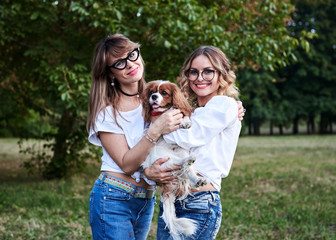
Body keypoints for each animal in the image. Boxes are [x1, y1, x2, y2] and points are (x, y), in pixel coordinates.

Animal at [140, 80, 207, 240]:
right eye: (152, 91)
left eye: (164, 93)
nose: (153, 96)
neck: (164, 112)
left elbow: (184, 114)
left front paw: (186, 122)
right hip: (165, 159)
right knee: (179, 164)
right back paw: (189, 161)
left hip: (181, 153)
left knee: (187, 171)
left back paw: (198, 180)